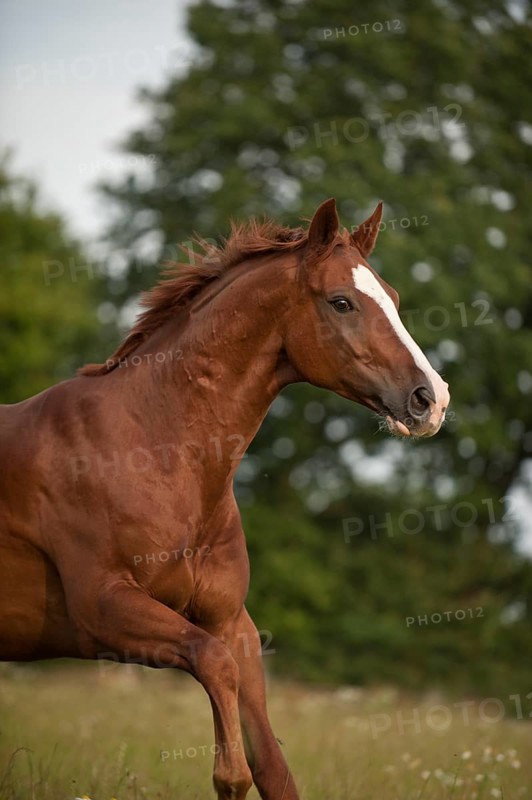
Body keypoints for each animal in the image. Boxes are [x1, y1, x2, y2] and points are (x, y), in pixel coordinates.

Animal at [0, 198, 449, 799]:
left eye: (394, 299)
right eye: (342, 301)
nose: (431, 399)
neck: (153, 450)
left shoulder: (231, 621)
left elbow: (273, 765)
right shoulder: (106, 609)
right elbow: (215, 677)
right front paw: (228, 775)